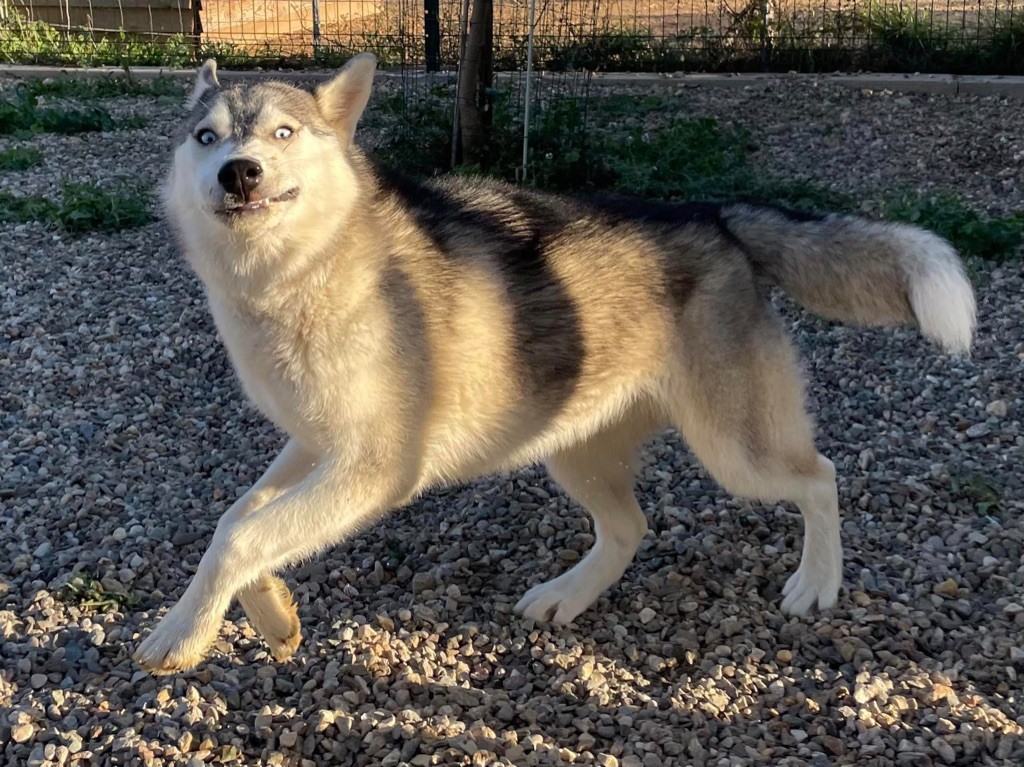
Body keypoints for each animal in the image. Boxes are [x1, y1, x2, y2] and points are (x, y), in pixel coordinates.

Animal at [134, 53, 974, 671]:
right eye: (205, 137)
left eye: (282, 133)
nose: (239, 171)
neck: (298, 273)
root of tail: (712, 215)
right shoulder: (314, 445)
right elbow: (236, 520)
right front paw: (261, 616)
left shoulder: (375, 467)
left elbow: (246, 534)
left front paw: (187, 634)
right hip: (568, 445)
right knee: (629, 527)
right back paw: (570, 593)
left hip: (737, 450)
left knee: (819, 477)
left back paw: (818, 582)